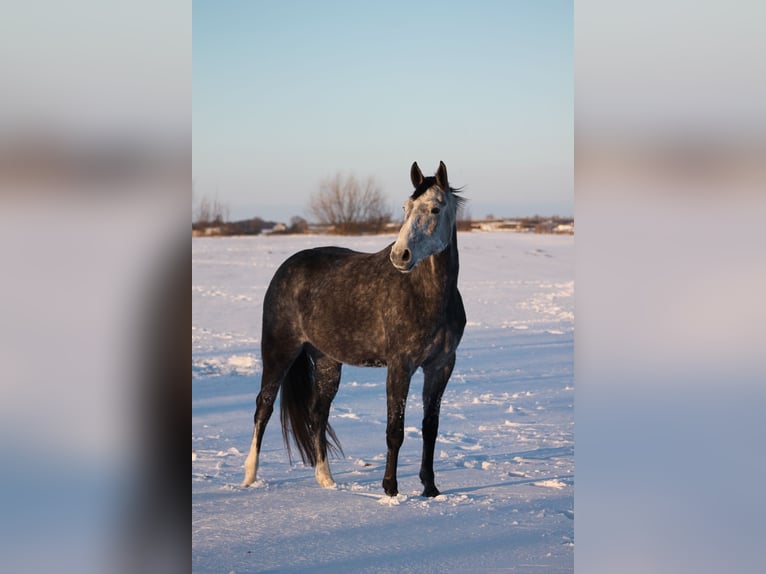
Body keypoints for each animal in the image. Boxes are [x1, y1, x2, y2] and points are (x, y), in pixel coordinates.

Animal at [241, 161, 466, 497]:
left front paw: (430, 488)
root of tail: (286, 268)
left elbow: (430, 428)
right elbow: (395, 430)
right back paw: (249, 476)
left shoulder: (440, 366)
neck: (428, 295)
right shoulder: (400, 365)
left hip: (326, 361)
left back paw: (326, 479)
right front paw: (390, 489)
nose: (400, 255)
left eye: (435, 208)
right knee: (263, 407)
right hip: (279, 351)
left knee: (317, 412)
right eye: (405, 207)